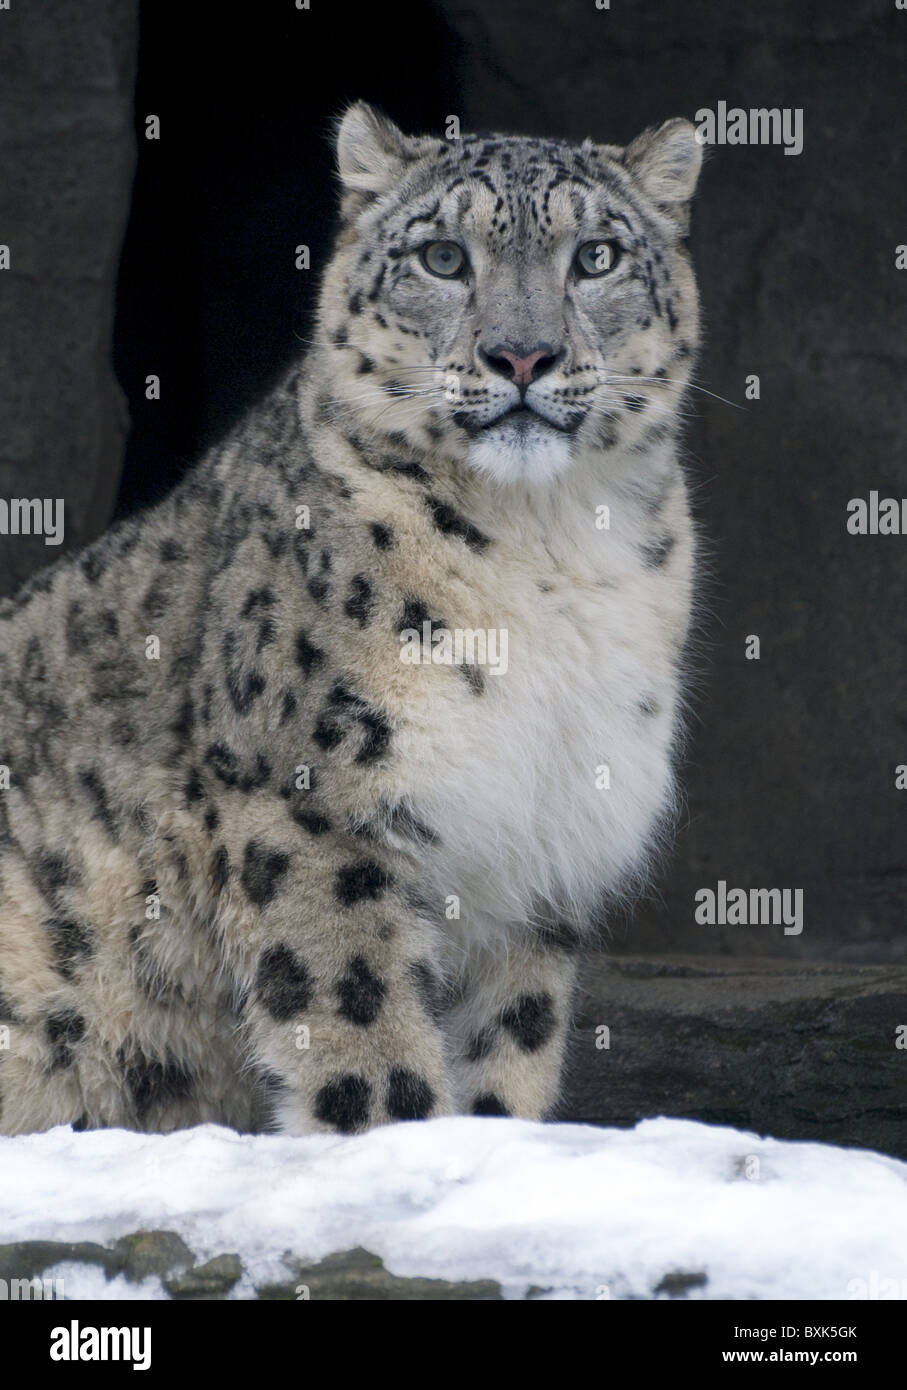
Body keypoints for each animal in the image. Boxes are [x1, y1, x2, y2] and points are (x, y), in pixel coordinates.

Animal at [0, 102, 700, 1134]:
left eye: (597, 256)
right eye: (444, 257)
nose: (522, 355)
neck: (547, 542)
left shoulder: (537, 853)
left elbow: (509, 1045)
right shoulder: (315, 798)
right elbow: (359, 1018)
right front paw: (393, 1135)